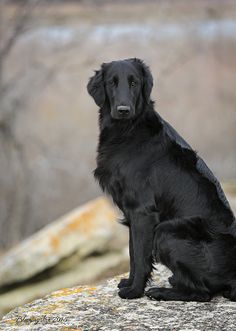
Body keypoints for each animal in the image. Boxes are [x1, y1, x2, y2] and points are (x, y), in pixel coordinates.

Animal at [87, 58, 236, 302]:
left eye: (134, 83)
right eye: (111, 82)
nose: (123, 110)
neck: (128, 130)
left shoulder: (143, 212)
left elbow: (140, 256)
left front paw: (134, 291)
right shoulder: (132, 213)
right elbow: (133, 253)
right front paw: (128, 282)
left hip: (167, 231)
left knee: (202, 293)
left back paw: (160, 292)